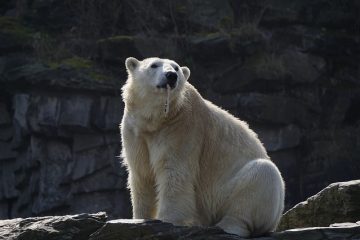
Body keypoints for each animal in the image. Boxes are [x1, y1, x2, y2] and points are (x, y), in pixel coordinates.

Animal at [121, 56, 284, 238]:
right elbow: (142, 174)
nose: (171, 76)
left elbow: (174, 173)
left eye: (176, 68)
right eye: (154, 65)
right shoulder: (135, 131)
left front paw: (167, 221)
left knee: (262, 176)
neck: (156, 120)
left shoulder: (182, 128)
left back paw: (226, 226)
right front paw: (140, 219)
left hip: (226, 192)